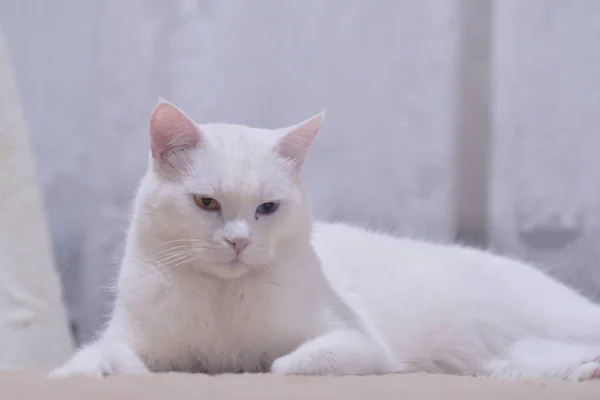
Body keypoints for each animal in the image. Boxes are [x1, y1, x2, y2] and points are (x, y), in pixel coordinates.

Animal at [49, 101, 600, 382]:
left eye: (267, 209)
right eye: (206, 203)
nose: (238, 241)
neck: (223, 299)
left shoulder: (361, 343)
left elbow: (296, 362)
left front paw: (269, 365)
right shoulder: (133, 340)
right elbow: (103, 360)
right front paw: (85, 373)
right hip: (514, 358)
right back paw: (581, 372)